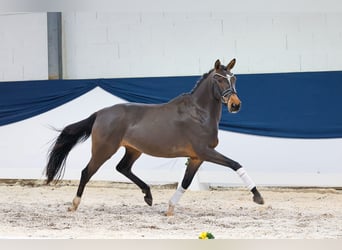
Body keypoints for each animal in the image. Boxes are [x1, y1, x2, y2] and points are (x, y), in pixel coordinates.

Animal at [45, 58, 264, 215]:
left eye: (234, 79)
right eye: (219, 79)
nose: (235, 105)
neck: (199, 113)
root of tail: (100, 113)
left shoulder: (196, 157)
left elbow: (186, 183)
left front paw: (170, 208)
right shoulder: (205, 152)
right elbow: (235, 164)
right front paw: (258, 196)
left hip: (133, 150)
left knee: (122, 168)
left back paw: (148, 195)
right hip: (104, 150)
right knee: (86, 172)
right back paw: (74, 205)